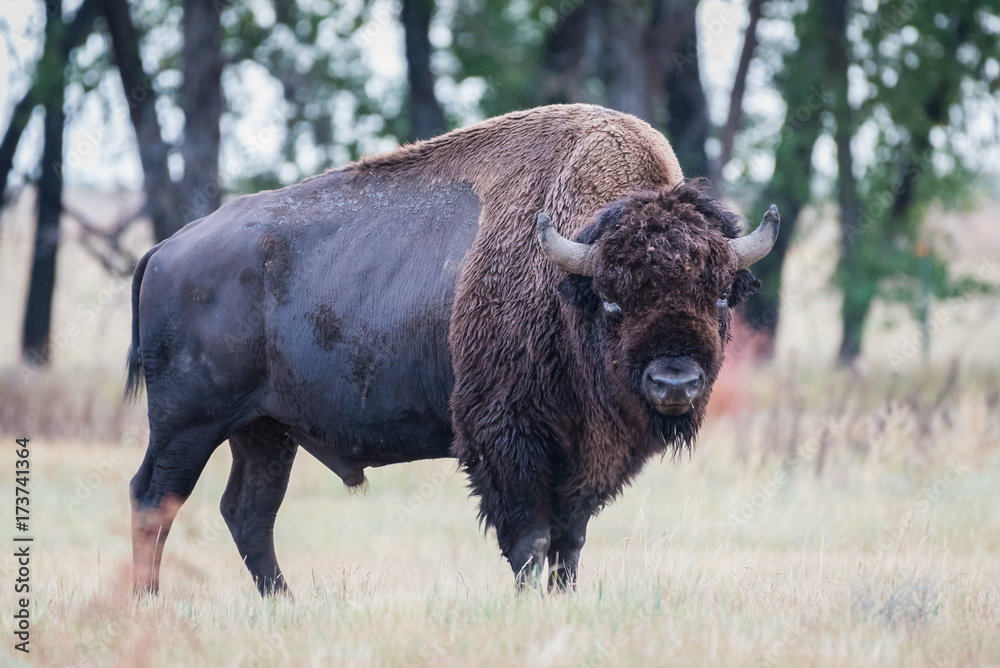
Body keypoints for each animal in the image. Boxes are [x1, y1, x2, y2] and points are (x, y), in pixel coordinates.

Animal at [125, 104, 776, 596]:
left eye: (722, 295)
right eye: (613, 301)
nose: (675, 383)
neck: (569, 282)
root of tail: (167, 248)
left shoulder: (585, 455)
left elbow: (570, 541)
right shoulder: (507, 439)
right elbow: (532, 538)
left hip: (264, 430)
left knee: (248, 513)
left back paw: (285, 604)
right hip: (187, 424)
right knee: (154, 499)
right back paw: (149, 603)